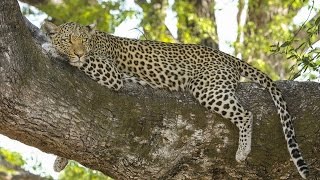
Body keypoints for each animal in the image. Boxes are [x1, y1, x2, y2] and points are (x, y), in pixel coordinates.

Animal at [41, 21, 308, 179]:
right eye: (69, 39)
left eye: (83, 41)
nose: (78, 52)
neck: (96, 41)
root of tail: (227, 57)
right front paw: (60, 160)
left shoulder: (111, 74)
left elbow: (86, 61)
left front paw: (50, 48)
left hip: (207, 88)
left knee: (246, 114)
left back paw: (243, 151)